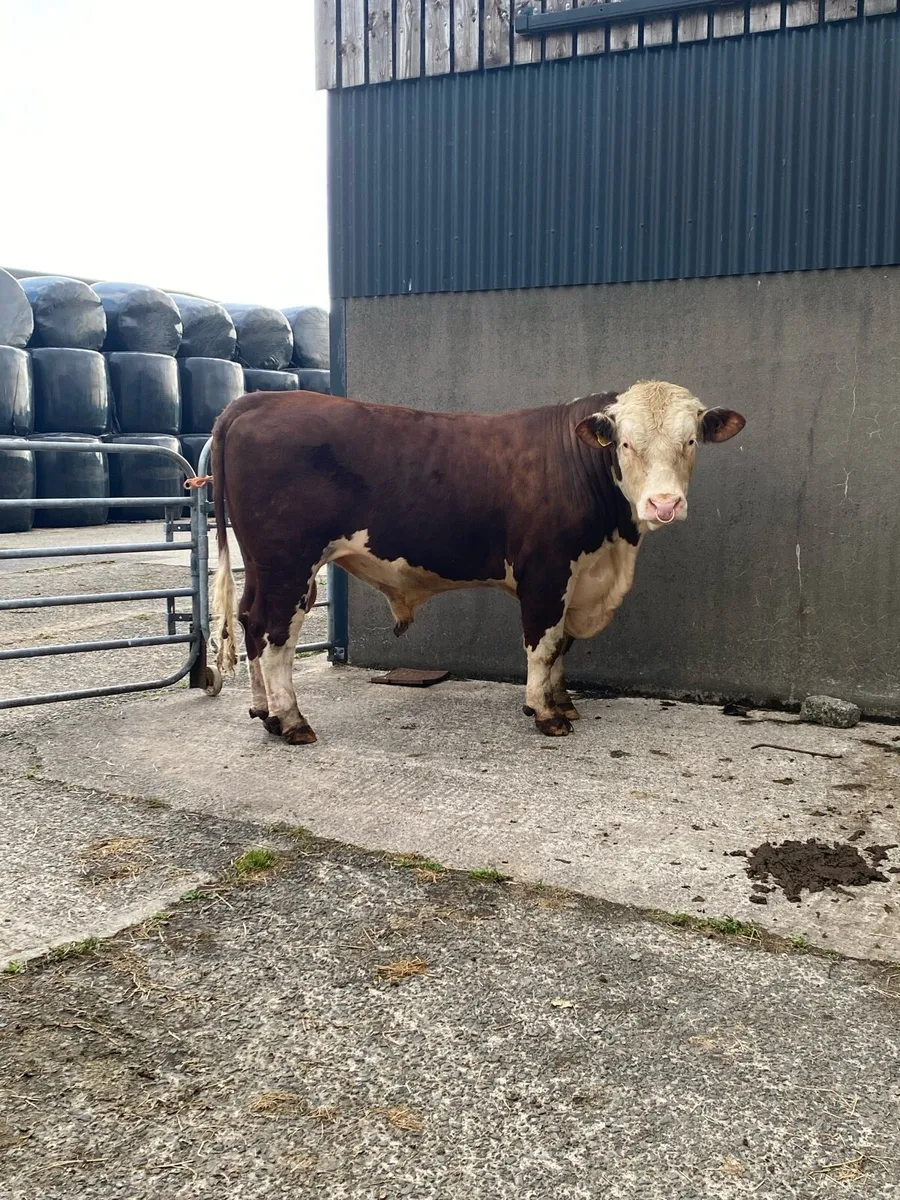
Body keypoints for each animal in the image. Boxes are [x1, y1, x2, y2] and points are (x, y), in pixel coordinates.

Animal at [209, 381, 745, 744]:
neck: (614, 549)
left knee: (250, 623)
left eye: (690, 441)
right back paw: (292, 721)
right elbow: (544, 643)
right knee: (274, 633)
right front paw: (545, 713)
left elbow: (562, 644)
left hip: (262, 564)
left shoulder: (577, 576)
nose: (663, 504)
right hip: (288, 562)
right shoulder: (547, 571)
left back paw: (265, 713)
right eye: (626, 443)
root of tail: (257, 399)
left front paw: (564, 702)